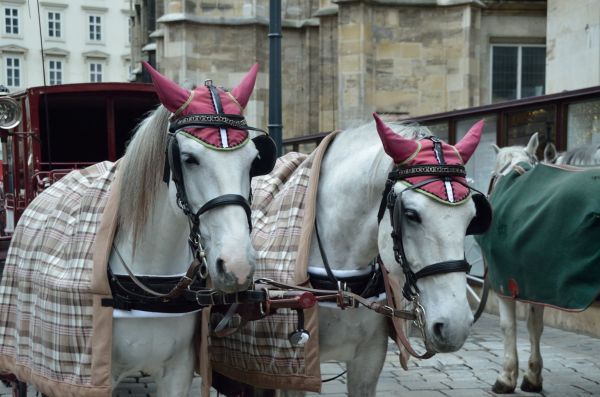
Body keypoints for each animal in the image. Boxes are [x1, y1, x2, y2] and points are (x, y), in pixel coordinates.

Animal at [488, 134, 600, 392]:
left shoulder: (502, 281)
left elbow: (508, 326)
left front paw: (506, 377)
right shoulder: (534, 281)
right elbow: (535, 326)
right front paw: (532, 376)